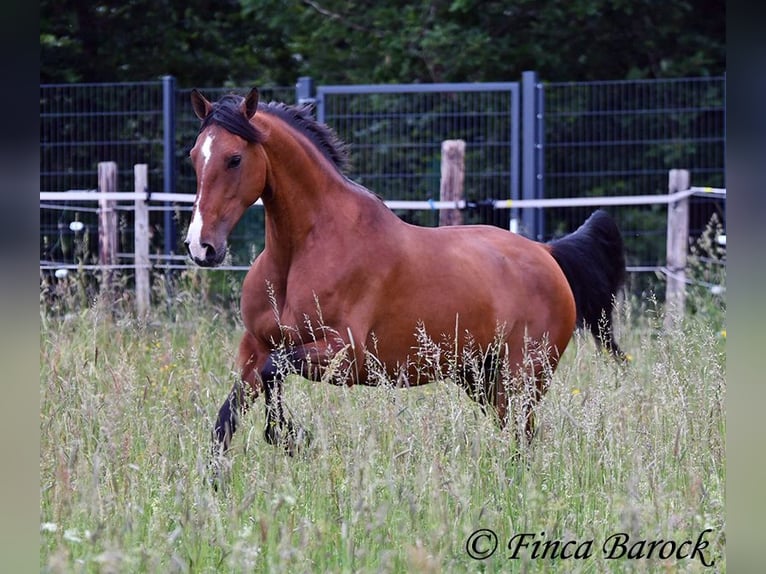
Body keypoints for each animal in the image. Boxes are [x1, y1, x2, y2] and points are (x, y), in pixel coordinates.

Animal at [185, 88, 627, 467]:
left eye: (234, 158)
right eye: (193, 156)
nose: (201, 247)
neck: (301, 253)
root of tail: (548, 254)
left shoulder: (346, 356)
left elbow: (274, 371)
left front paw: (289, 436)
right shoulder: (254, 347)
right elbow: (227, 418)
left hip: (523, 377)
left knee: (524, 436)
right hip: (483, 379)